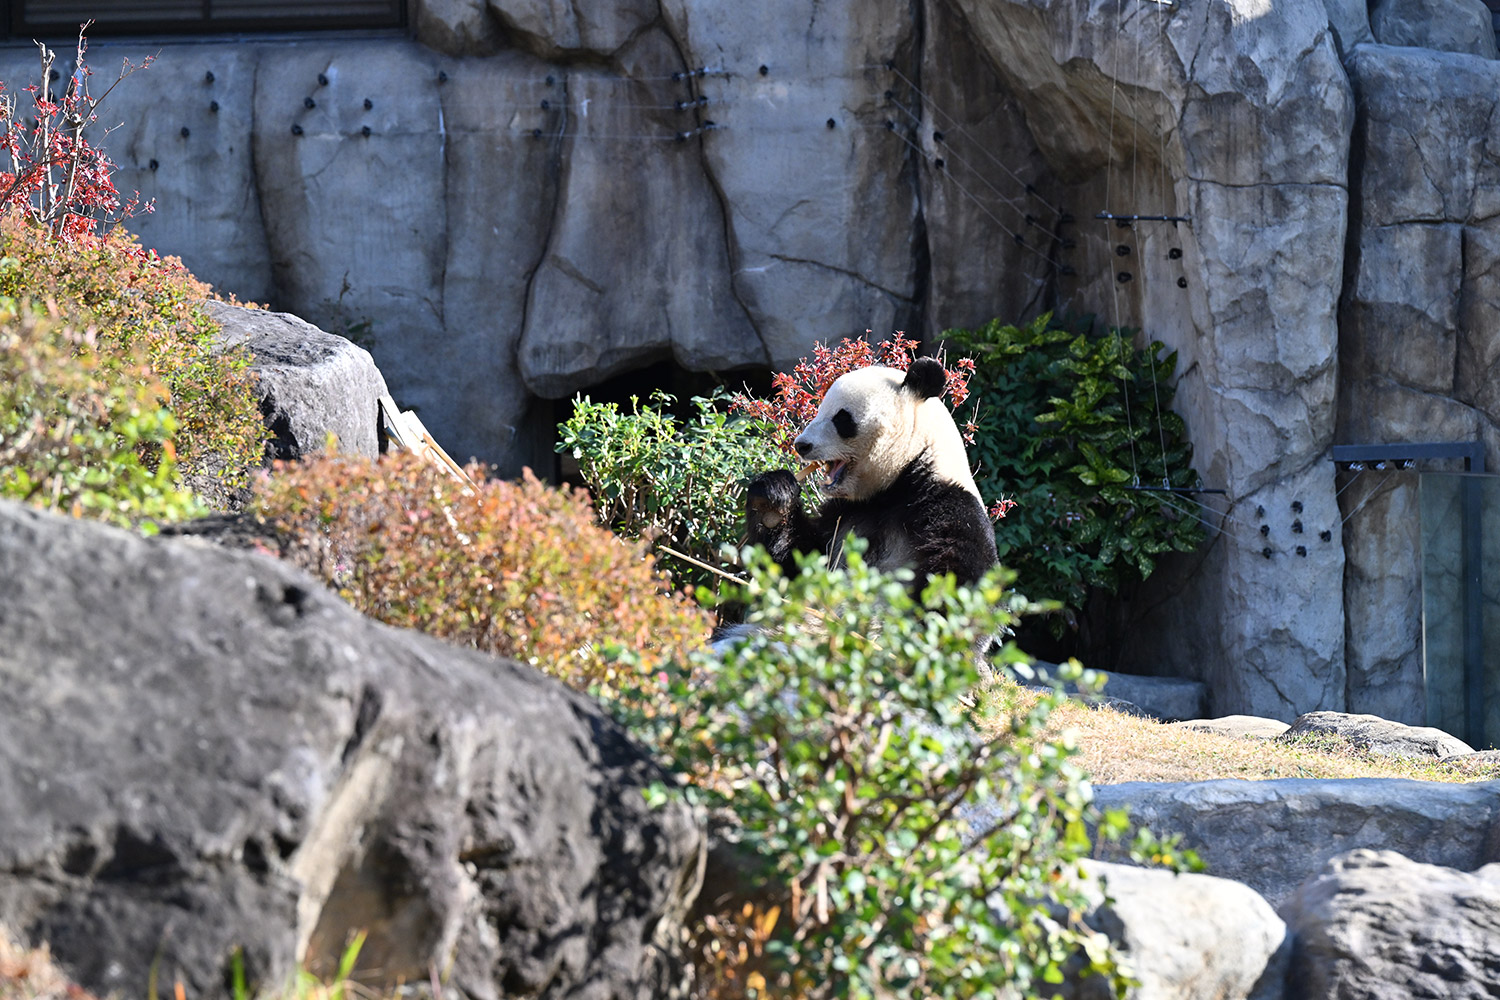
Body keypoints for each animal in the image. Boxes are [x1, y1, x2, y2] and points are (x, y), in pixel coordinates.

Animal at [744, 357, 998, 587]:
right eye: (820, 411)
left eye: (842, 419)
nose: (801, 445)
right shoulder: (845, 513)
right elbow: (801, 561)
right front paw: (773, 498)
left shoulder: (950, 508)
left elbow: (959, 582)